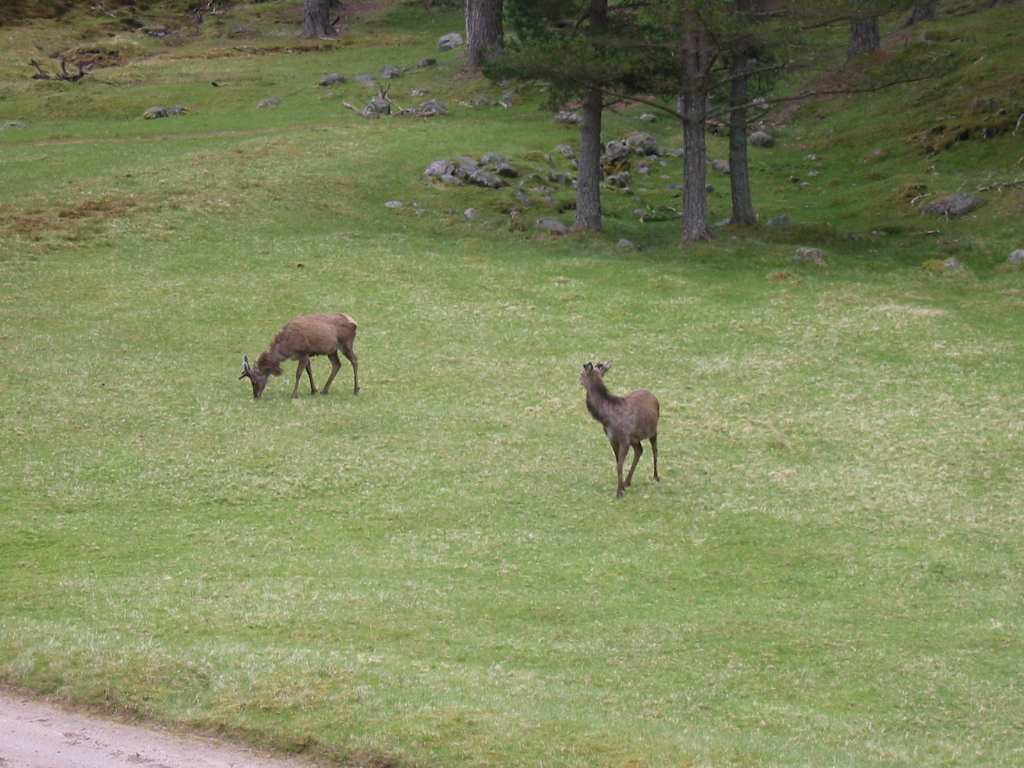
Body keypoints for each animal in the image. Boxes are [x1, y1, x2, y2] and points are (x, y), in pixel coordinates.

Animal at [581, 360, 659, 499]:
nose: (579, 380)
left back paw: (656, 476)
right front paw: (621, 486)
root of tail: (653, 395)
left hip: (653, 430)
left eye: (581, 374)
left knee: (655, 449)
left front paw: (619, 492)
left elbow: (619, 466)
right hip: (635, 438)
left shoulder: (624, 439)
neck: (605, 418)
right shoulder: (613, 439)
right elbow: (618, 463)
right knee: (639, 450)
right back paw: (627, 481)